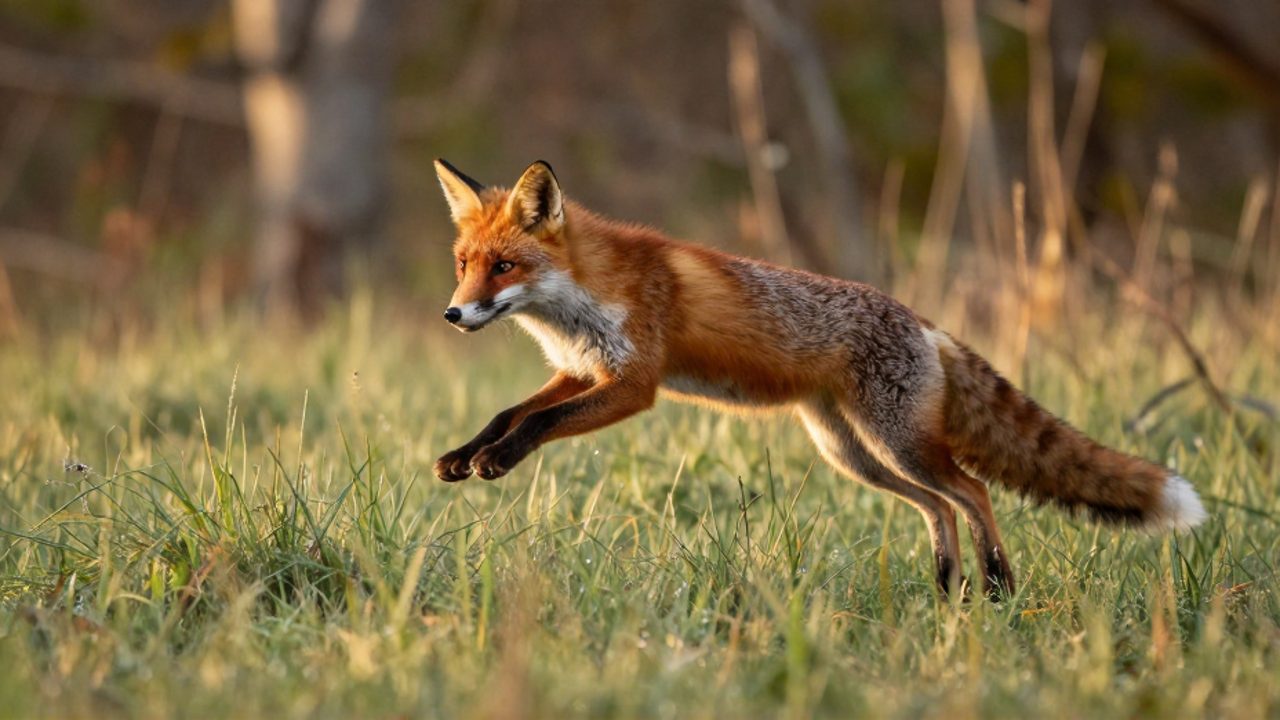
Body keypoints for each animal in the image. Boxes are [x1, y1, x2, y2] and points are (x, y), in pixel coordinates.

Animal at [431, 158, 1207, 599]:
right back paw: (948, 591)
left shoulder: (632, 384)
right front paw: (465, 456)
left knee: (975, 492)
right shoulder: (583, 371)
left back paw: (995, 587)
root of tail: (924, 323)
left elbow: (539, 423)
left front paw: (497, 461)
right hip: (856, 454)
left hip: (897, 445)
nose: (454, 313)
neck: (580, 302)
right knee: (941, 506)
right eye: (463, 264)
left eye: (504, 266)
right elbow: (511, 412)